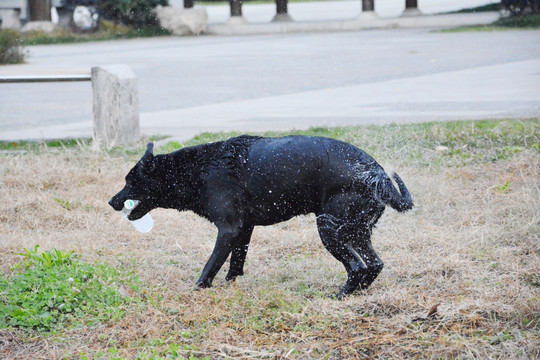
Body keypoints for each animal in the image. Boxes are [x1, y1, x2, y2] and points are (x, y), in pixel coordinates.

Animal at [109, 135, 414, 298]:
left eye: (130, 181)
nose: (112, 201)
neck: (197, 170)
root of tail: (377, 175)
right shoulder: (245, 228)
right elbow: (236, 262)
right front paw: (230, 284)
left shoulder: (228, 229)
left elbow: (211, 264)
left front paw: (199, 288)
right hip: (356, 230)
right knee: (374, 264)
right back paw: (358, 292)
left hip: (329, 228)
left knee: (357, 266)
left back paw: (339, 296)